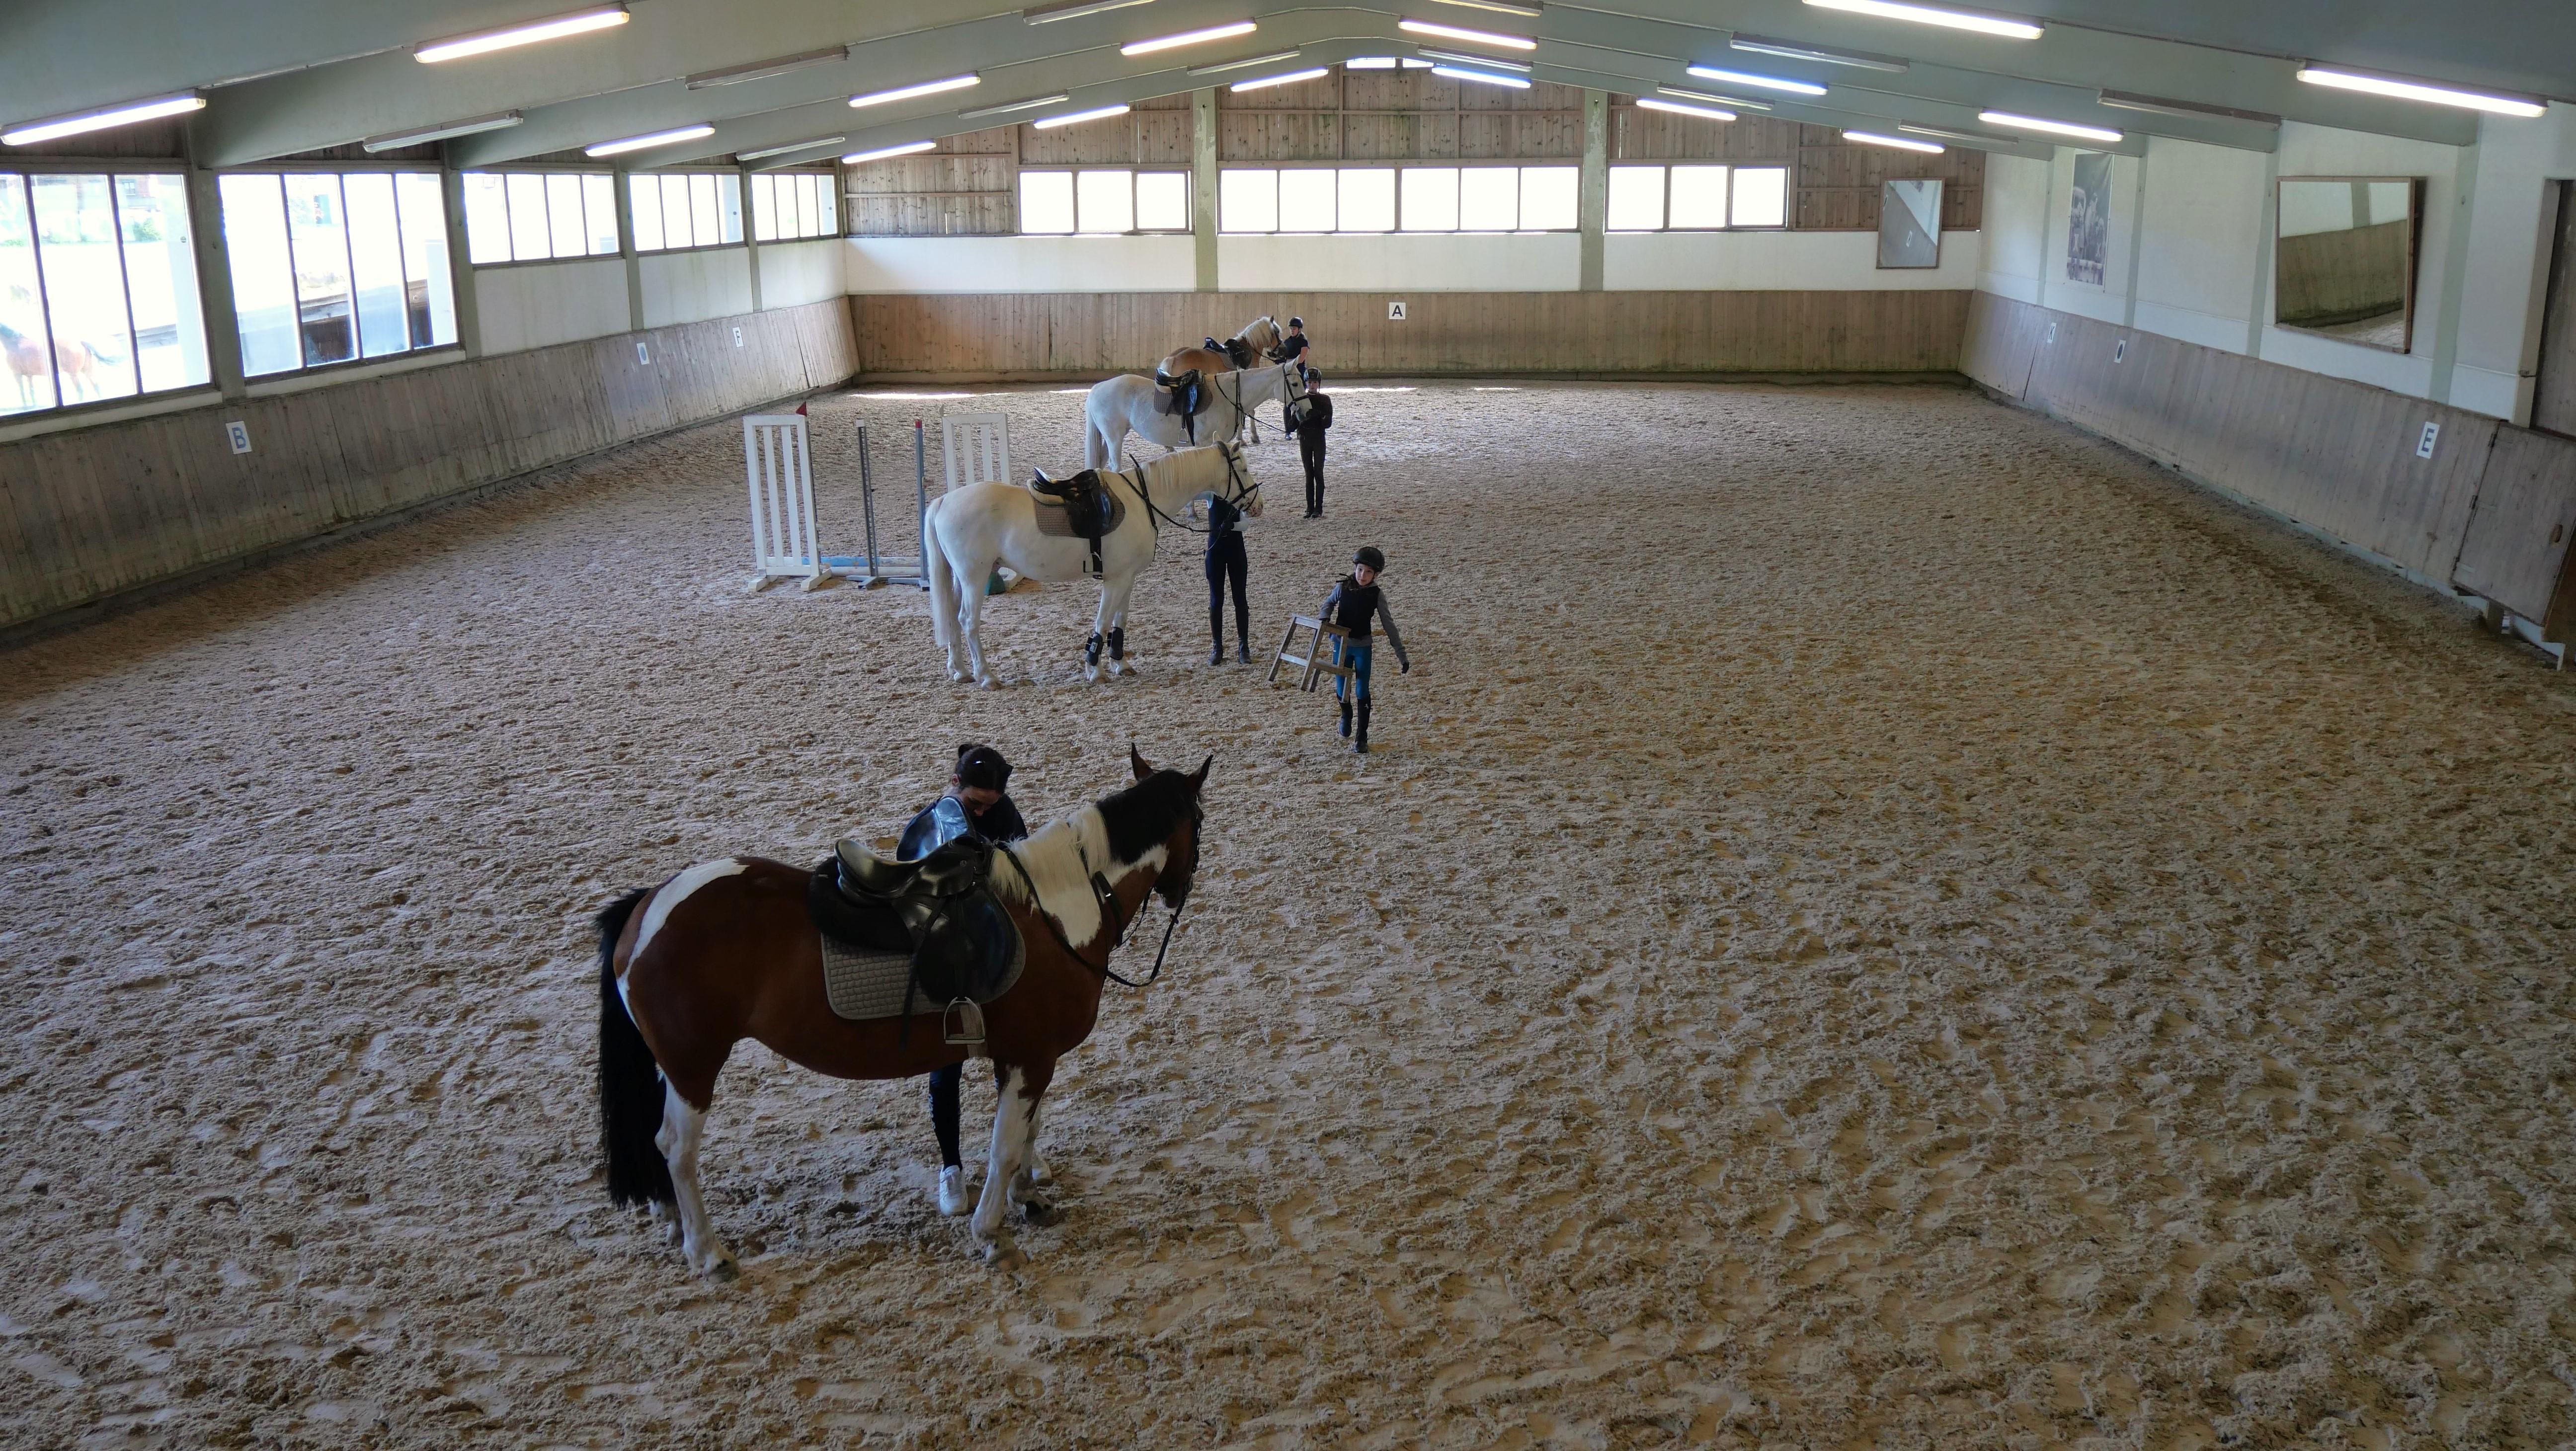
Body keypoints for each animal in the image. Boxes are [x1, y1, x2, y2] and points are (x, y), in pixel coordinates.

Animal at [596, 748, 1212, 1275]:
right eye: (1201, 822)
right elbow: (1005, 1145)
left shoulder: (1025, 1059)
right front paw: (993, 1233)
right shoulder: (1031, 1059)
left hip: (671, 1067)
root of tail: (649, 905)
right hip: (695, 1066)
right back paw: (708, 1251)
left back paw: (674, 1223)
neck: (1055, 910)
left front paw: (1029, 1197)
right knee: (676, 1149)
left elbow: (1027, 1134)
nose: (1178, 890)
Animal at [922, 439, 1263, 687]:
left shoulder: (1127, 578)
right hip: (974, 578)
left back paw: (961, 671)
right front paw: (1095, 670)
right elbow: (1102, 621)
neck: (1143, 500)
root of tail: (944, 501)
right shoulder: (1115, 579)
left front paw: (1120, 663)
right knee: (968, 621)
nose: (1258, 506)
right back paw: (986, 676)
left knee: (953, 618)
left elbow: (1119, 621)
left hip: (961, 579)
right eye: (1243, 468)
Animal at [1084, 359, 1308, 471]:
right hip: (1114, 438)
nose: (1307, 411)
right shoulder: (1203, 442)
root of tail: (1097, 388)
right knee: (1114, 466)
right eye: (1295, 383)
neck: (1227, 395)